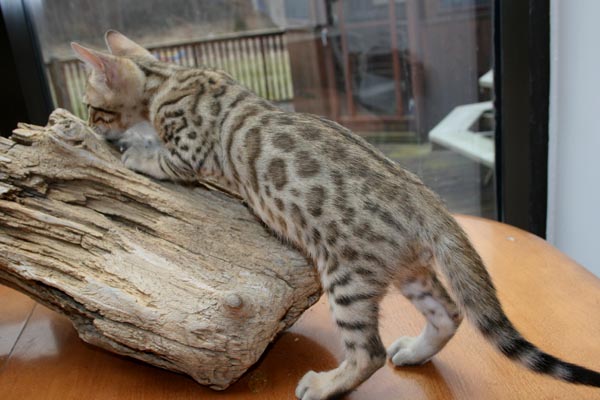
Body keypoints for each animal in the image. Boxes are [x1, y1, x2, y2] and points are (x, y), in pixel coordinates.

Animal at [70, 31, 600, 399]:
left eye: (94, 108)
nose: (92, 123)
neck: (167, 78)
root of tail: (426, 199)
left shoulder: (189, 152)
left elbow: (162, 159)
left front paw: (134, 153)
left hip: (346, 276)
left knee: (368, 354)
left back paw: (326, 385)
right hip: (407, 272)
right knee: (449, 313)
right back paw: (416, 351)